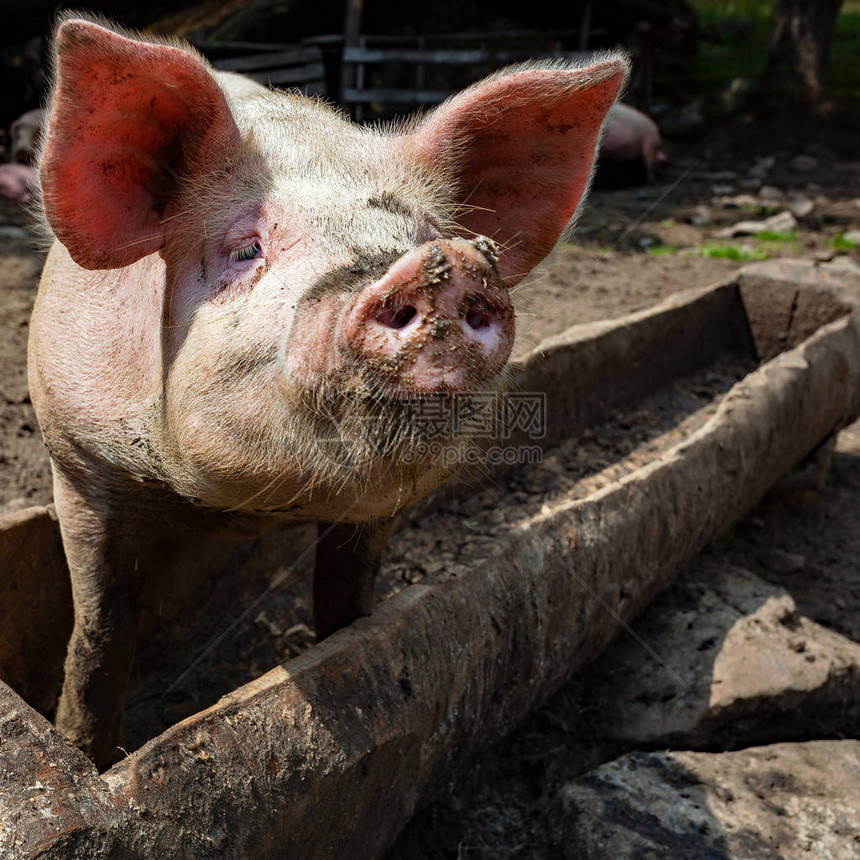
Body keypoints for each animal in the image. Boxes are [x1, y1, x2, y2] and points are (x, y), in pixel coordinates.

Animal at [30, 13, 628, 764]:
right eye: (246, 249)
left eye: (431, 234)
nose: (447, 264)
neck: (239, 507)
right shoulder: (77, 461)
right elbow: (100, 634)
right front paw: (86, 752)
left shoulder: (377, 508)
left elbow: (347, 605)